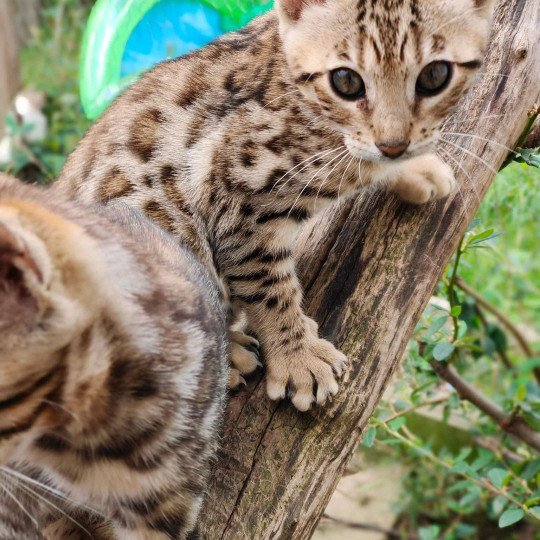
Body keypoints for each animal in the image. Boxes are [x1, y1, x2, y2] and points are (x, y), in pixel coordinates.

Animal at [57, 0, 496, 410]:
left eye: (435, 76)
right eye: (346, 81)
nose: (394, 145)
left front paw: (415, 167)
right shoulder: (236, 199)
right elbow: (268, 285)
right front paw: (298, 358)